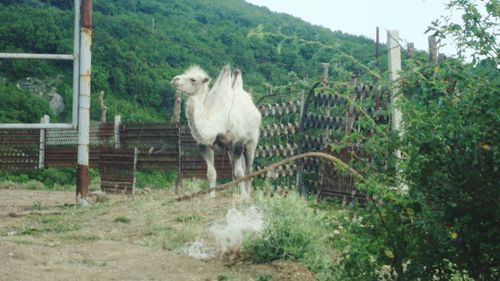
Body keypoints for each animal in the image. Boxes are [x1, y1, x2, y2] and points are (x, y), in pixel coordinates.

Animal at [170, 64, 262, 196]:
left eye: (193, 79)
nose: (174, 79)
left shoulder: (238, 142)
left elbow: (240, 172)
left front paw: (244, 196)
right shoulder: (205, 145)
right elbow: (211, 173)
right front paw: (211, 195)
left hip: (252, 141)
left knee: (248, 169)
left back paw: (247, 193)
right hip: (229, 149)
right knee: (234, 169)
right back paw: (235, 193)